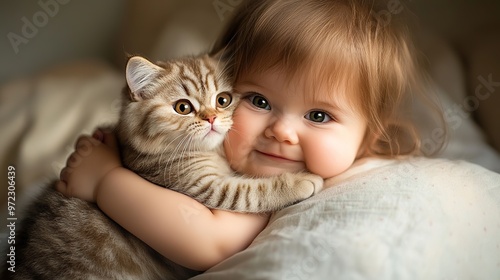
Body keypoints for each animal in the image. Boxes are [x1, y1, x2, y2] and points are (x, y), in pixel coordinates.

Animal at [1, 53, 322, 278]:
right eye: (183, 107)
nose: (211, 118)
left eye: (223, 100)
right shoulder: (201, 187)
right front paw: (303, 180)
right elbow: (250, 192)